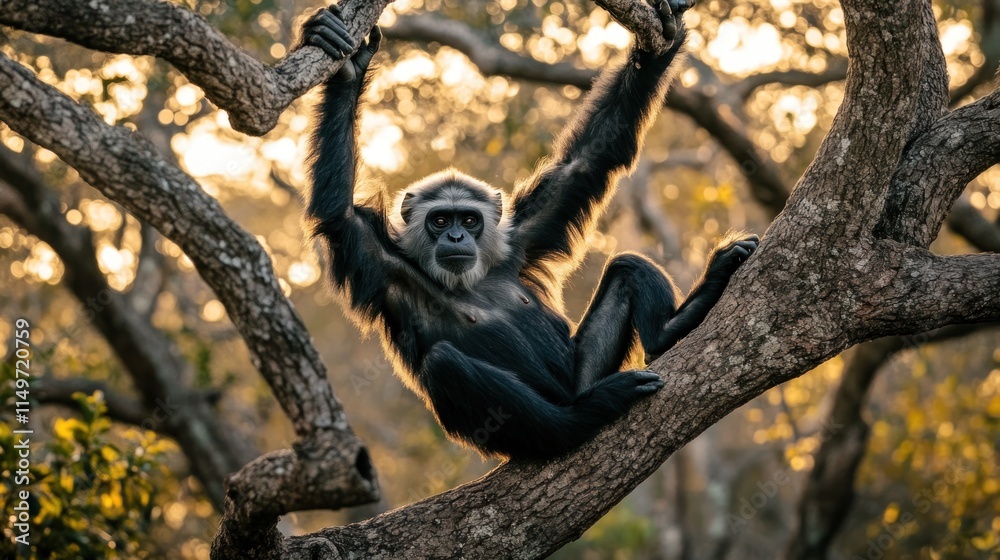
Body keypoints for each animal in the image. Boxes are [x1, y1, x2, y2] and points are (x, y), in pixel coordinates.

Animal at [300, 0, 758, 459]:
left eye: (469, 219)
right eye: (440, 220)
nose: (455, 236)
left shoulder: (521, 237)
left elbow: (588, 158)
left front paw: (661, 41)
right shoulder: (374, 256)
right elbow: (338, 212)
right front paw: (345, 66)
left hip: (581, 375)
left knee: (628, 266)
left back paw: (670, 330)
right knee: (446, 364)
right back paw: (578, 420)